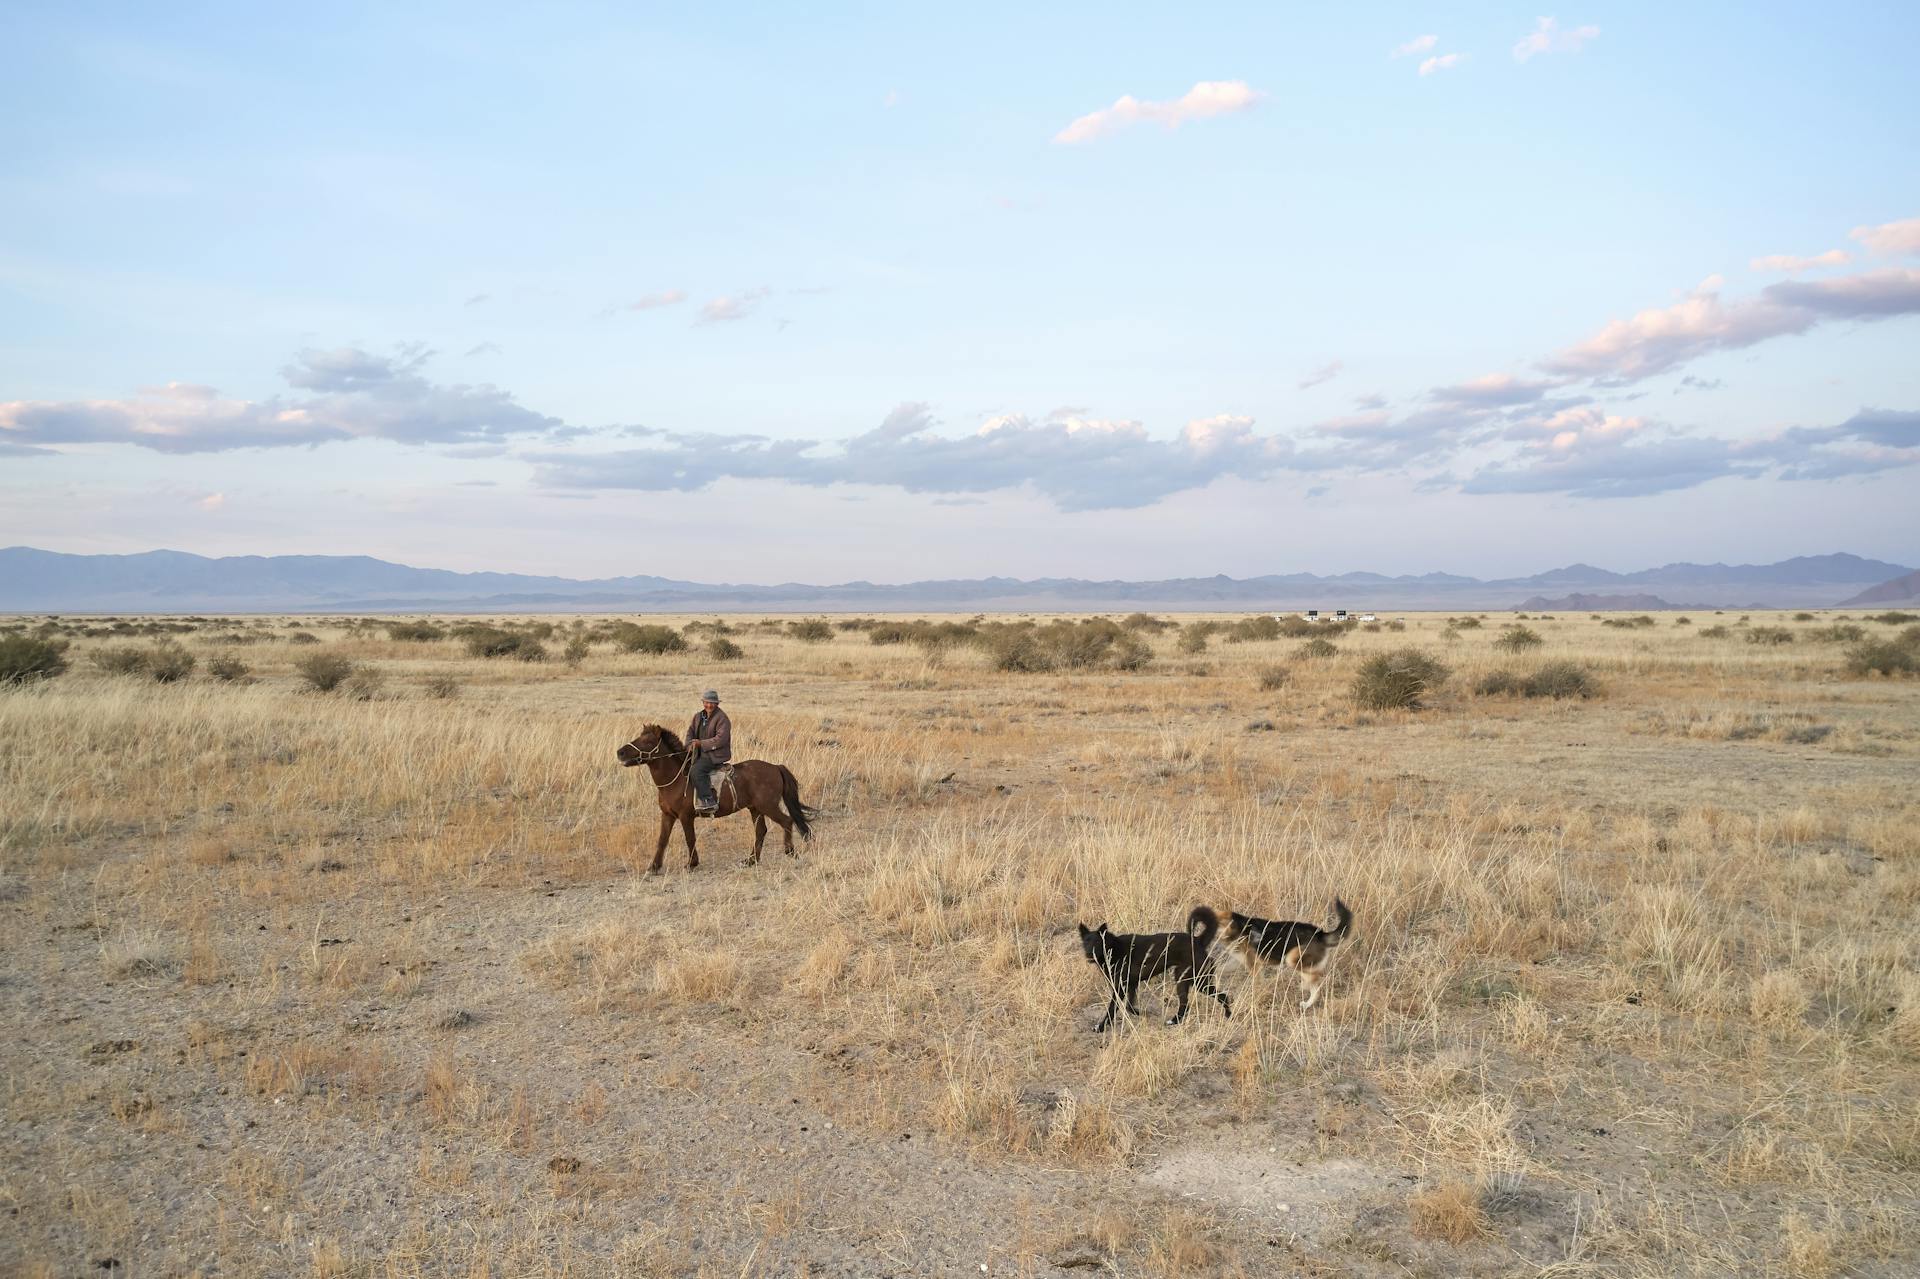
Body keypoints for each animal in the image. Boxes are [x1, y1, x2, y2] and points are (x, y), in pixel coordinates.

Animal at [614, 722, 810, 871]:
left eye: (647, 741)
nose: (620, 752)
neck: (675, 779)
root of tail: (776, 767)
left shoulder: (686, 816)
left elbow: (690, 838)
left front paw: (691, 864)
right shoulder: (668, 815)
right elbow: (662, 840)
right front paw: (654, 866)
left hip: (768, 806)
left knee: (786, 821)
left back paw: (790, 852)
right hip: (755, 808)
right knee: (761, 831)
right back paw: (751, 860)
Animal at [1082, 906, 1228, 1029]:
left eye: (1097, 942)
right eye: (1085, 943)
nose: (1089, 953)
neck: (1113, 948)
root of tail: (1197, 940)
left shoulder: (1120, 987)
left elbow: (1112, 1009)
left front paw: (1101, 1027)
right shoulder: (1131, 984)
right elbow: (1129, 1006)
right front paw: (1141, 1013)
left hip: (1197, 981)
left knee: (1222, 996)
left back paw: (1227, 1015)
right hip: (1186, 980)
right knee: (1187, 1004)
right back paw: (1175, 1021)